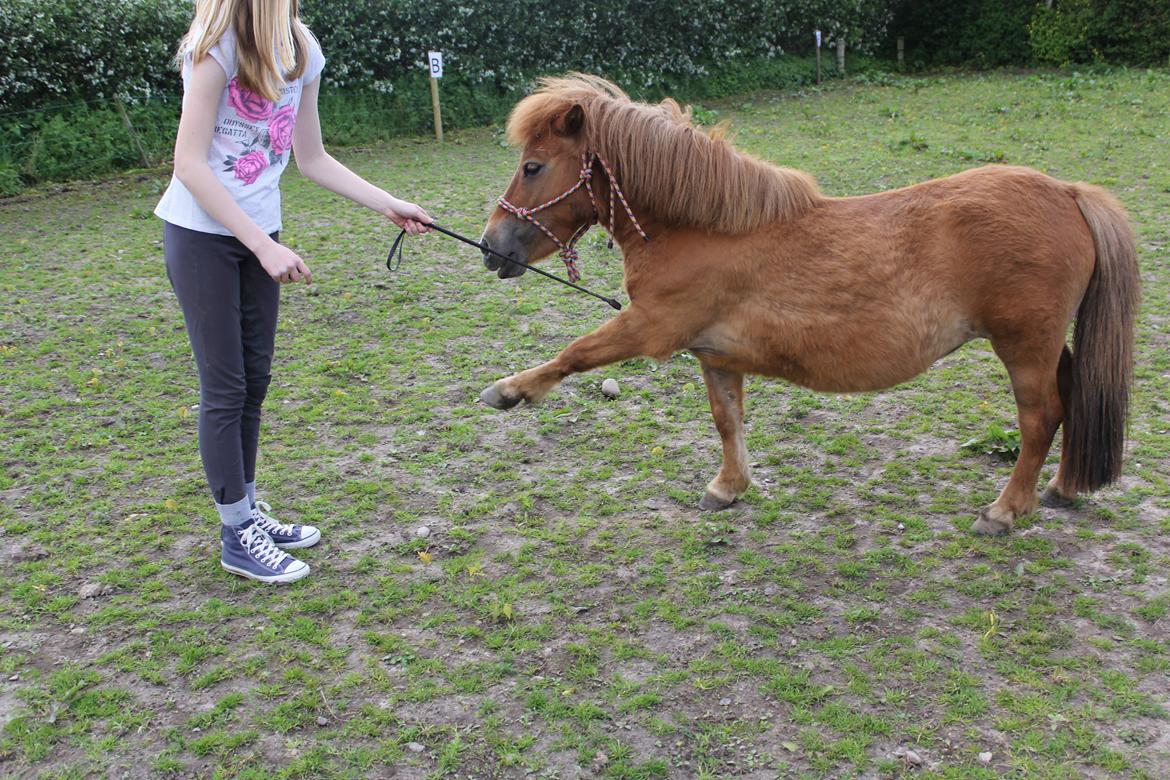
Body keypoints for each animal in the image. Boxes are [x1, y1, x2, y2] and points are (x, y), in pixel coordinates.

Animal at [472, 74, 1132, 537]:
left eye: (533, 166)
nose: (490, 247)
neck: (703, 228)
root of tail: (1069, 193)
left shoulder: (650, 327)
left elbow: (575, 353)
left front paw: (510, 390)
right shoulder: (714, 354)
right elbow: (727, 419)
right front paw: (728, 487)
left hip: (1023, 346)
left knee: (1040, 418)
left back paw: (1005, 510)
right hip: (1046, 344)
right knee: (1073, 396)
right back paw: (1063, 487)